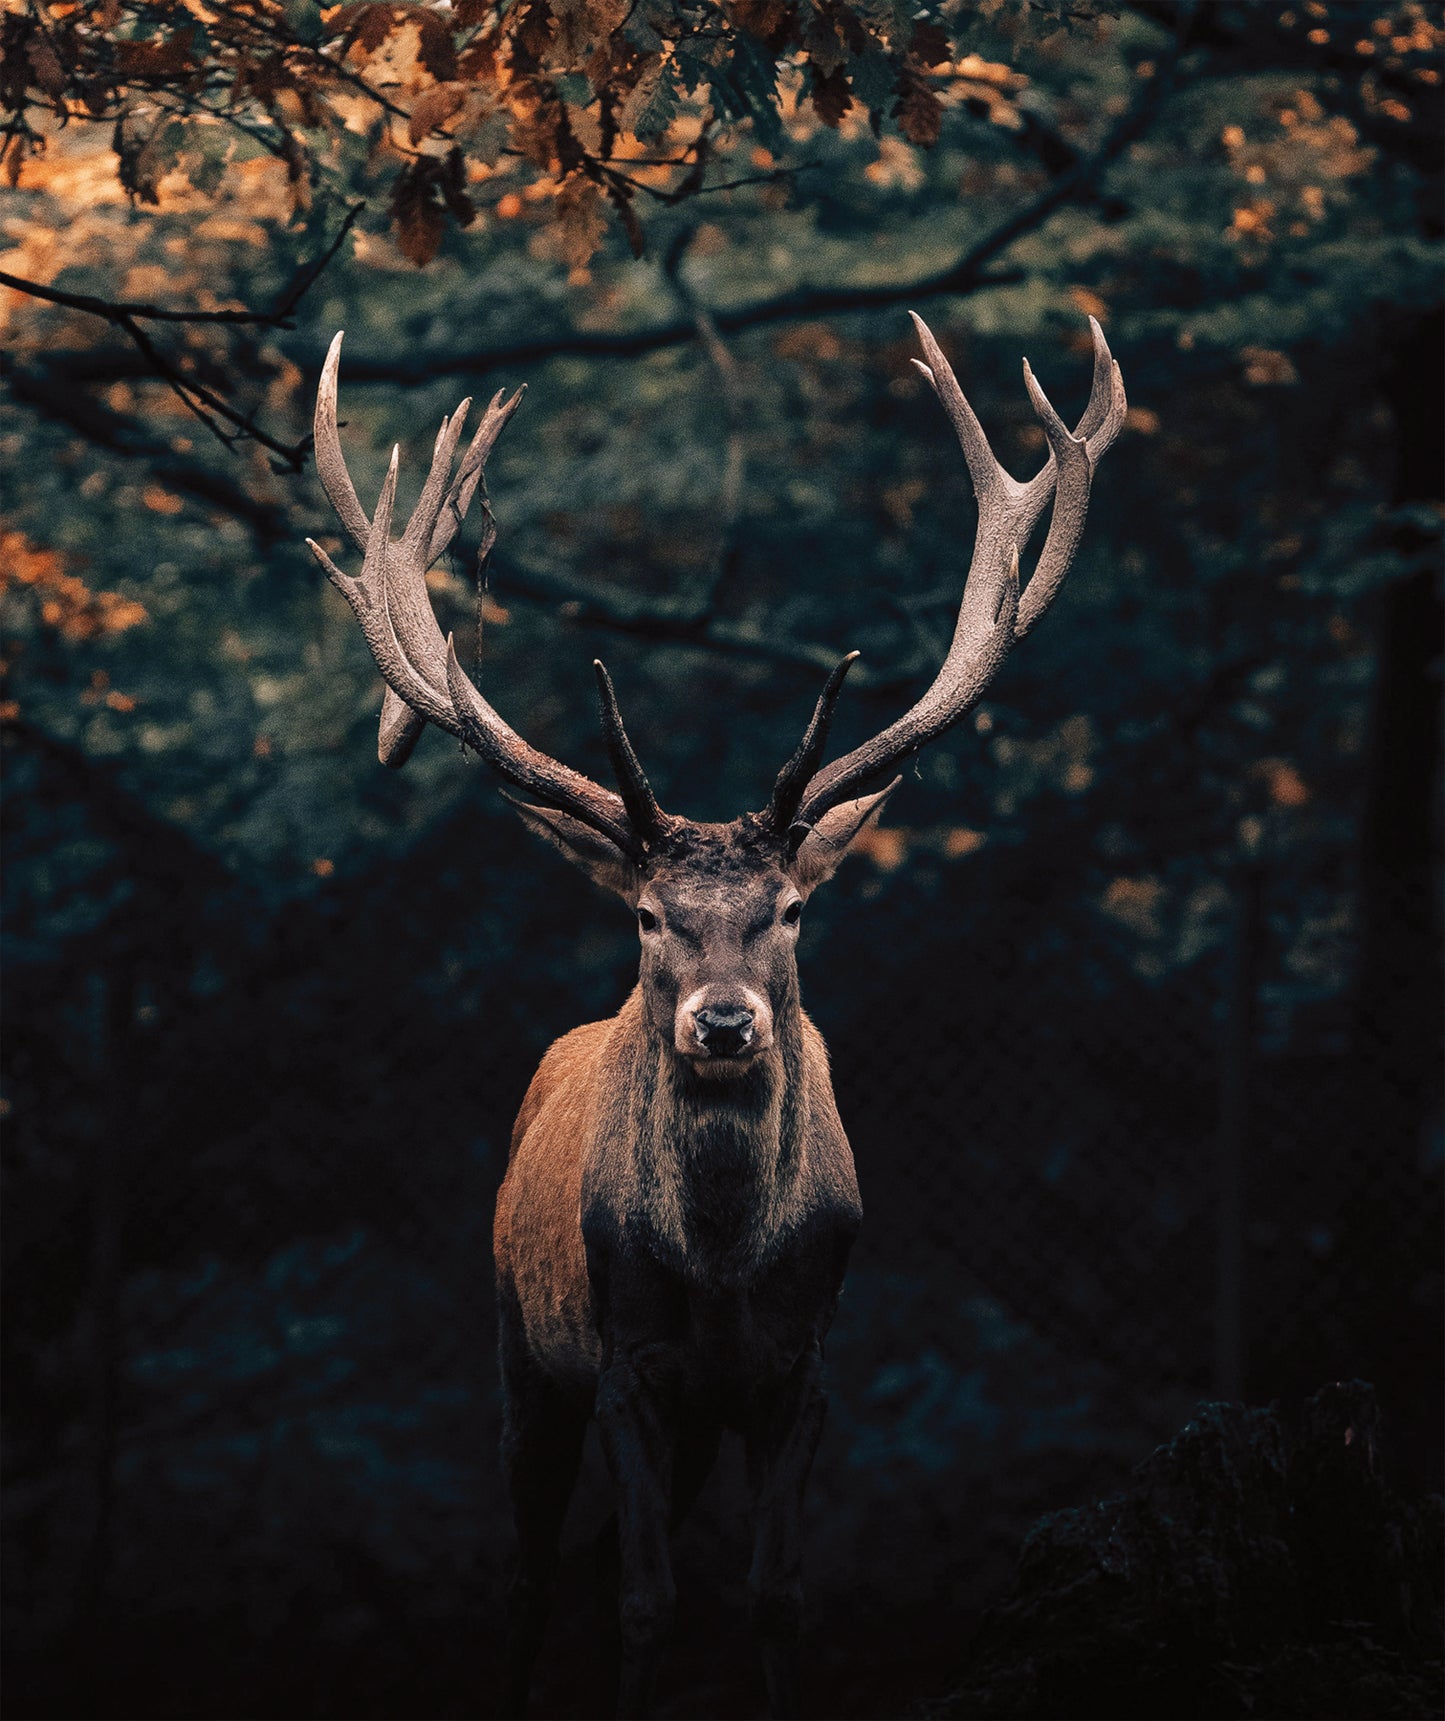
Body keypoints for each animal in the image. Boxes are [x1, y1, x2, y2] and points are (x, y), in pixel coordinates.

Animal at [307, 313, 1124, 1719]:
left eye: (789, 907)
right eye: (646, 915)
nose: (726, 1024)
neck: (729, 1265)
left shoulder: (802, 1368)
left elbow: (773, 1592)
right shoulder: (626, 1360)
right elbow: (645, 1599)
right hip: (521, 1345)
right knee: (534, 1574)